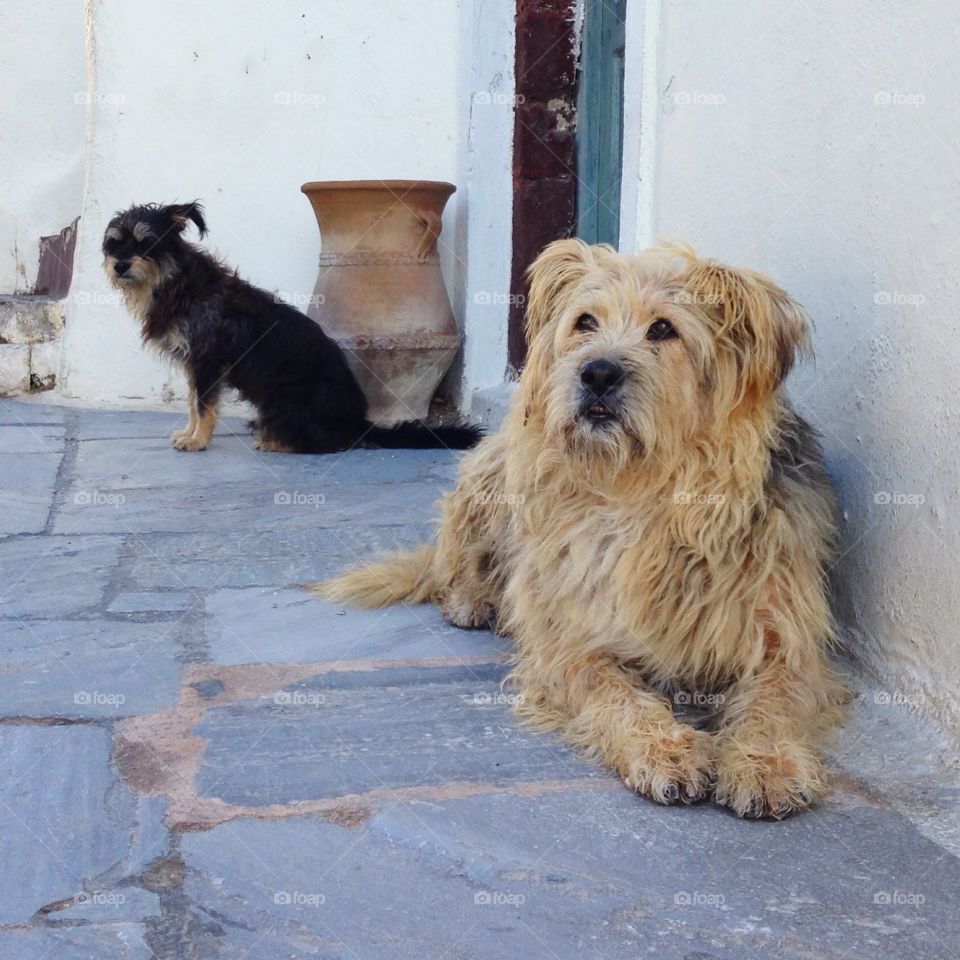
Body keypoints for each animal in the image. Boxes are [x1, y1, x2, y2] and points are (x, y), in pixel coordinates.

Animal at [102, 202, 484, 454]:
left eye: (146, 242)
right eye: (114, 243)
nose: (119, 265)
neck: (175, 282)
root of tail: (356, 424)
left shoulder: (208, 361)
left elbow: (203, 405)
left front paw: (197, 440)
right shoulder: (196, 364)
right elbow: (193, 404)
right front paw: (189, 432)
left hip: (285, 401)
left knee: (322, 444)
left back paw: (274, 440)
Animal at [312, 238, 844, 816]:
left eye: (663, 329)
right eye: (585, 322)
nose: (597, 373)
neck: (644, 492)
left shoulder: (784, 636)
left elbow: (776, 701)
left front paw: (765, 764)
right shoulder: (574, 638)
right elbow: (613, 692)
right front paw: (662, 749)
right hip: (494, 472)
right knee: (458, 562)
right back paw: (473, 599)